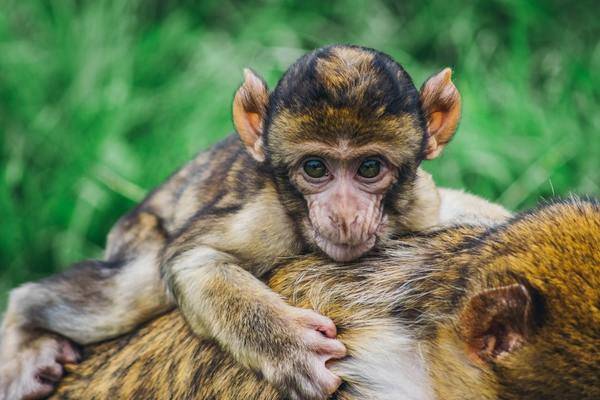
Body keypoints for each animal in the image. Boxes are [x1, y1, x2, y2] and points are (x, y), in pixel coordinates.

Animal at [0, 44, 488, 400]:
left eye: (369, 168)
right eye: (315, 168)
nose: (344, 214)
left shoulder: (418, 204)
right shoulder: (269, 217)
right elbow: (191, 259)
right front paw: (289, 347)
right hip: (137, 230)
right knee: (130, 290)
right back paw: (24, 329)